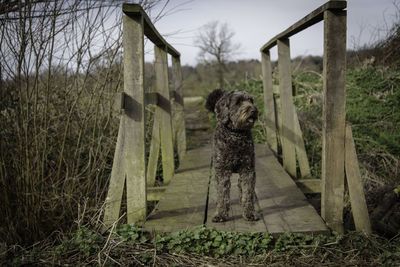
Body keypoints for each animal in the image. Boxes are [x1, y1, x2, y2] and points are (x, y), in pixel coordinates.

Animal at [206, 89, 260, 223]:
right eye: (238, 102)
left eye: (251, 100)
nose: (254, 110)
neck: (236, 135)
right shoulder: (222, 171)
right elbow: (222, 195)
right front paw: (220, 214)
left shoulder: (248, 170)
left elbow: (247, 193)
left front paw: (249, 213)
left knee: (241, 187)